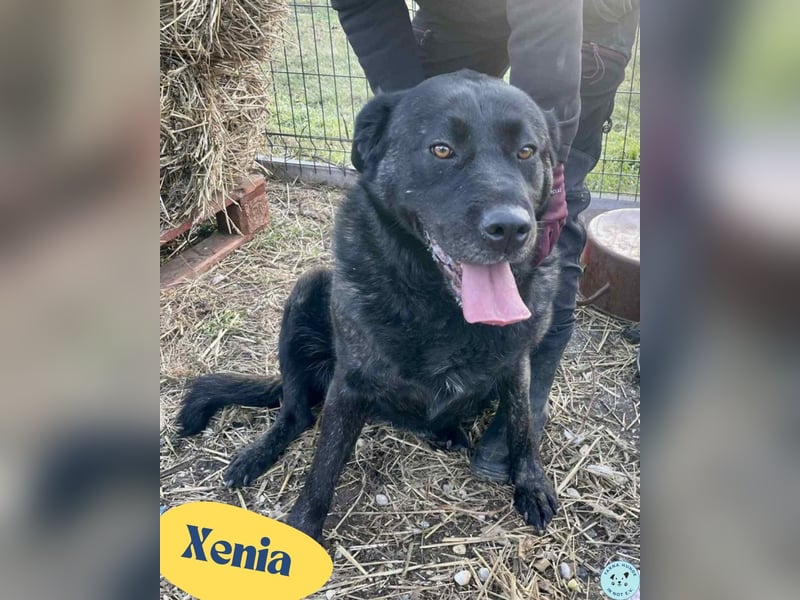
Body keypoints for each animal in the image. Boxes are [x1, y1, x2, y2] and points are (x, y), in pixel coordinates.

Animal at [178, 70, 562, 541]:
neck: (441, 306)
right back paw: (257, 454)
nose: (510, 228)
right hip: (306, 293)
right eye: (441, 149)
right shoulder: (350, 384)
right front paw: (304, 527)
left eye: (527, 151)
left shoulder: (516, 363)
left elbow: (522, 426)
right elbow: (323, 468)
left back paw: (447, 431)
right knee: (295, 415)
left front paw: (530, 482)